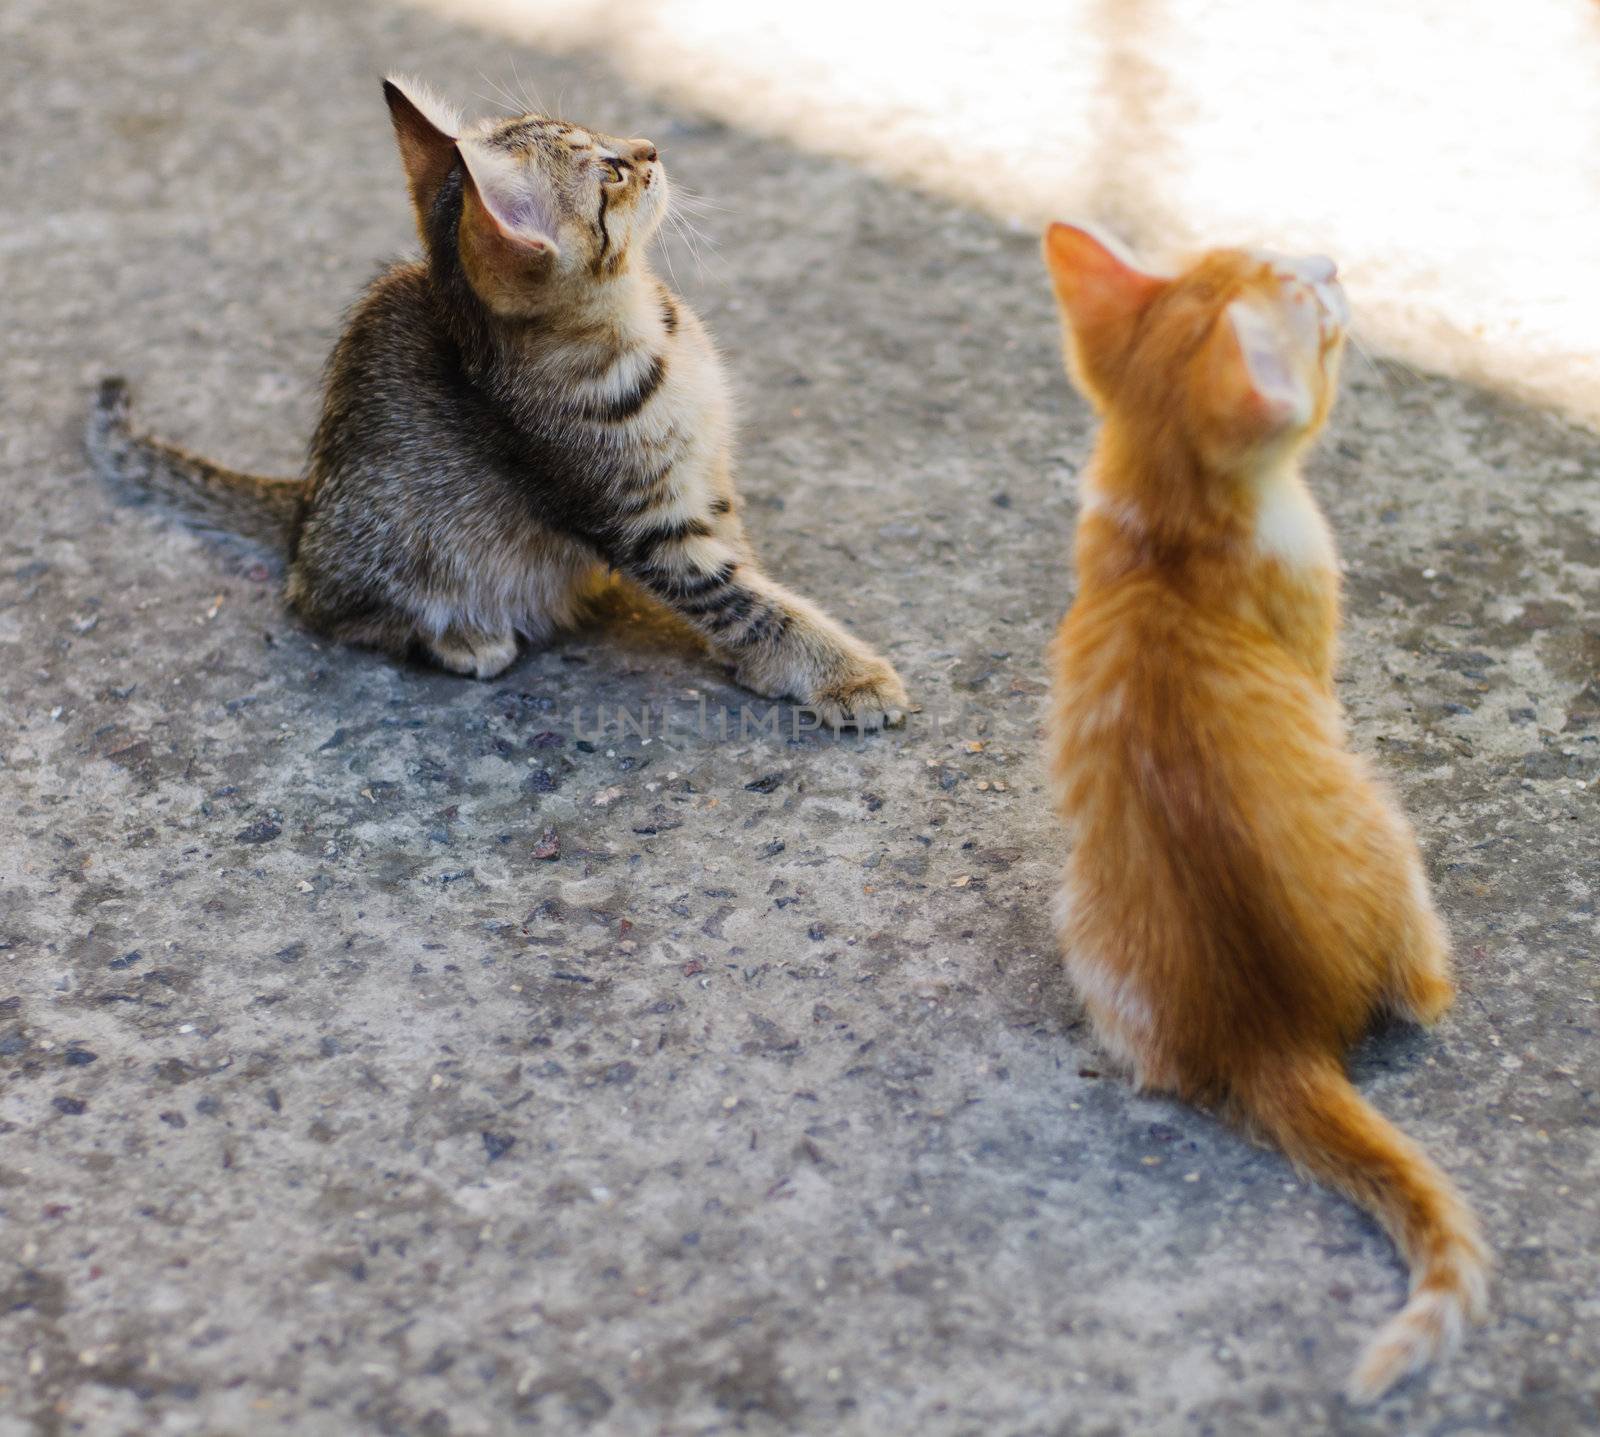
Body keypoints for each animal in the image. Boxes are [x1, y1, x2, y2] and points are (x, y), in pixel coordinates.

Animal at [87, 75, 908, 729]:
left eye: (607, 140)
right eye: (611, 171)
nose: (649, 148)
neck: (652, 332)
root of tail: (306, 507)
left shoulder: (705, 481)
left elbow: (746, 570)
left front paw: (764, 663)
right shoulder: (643, 524)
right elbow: (743, 600)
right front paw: (846, 675)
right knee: (318, 607)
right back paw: (461, 638)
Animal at [1043, 224, 1491, 1401]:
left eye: (1251, 249)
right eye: (1309, 304)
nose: (1331, 262)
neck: (1166, 538)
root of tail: (1273, 1036)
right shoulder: (1315, 634)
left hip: (1089, 926)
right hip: (1391, 825)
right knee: (1426, 992)